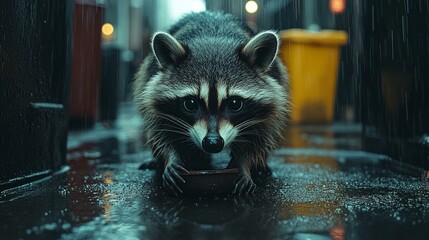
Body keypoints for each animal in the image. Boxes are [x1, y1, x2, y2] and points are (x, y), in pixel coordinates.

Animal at [133, 11, 288, 195]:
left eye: (235, 104)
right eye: (190, 104)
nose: (212, 143)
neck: (213, 41)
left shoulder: (270, 103)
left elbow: (260, 136)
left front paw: (243, 164)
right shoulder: (153, 93)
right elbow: (160, 131)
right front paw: (172, 157)